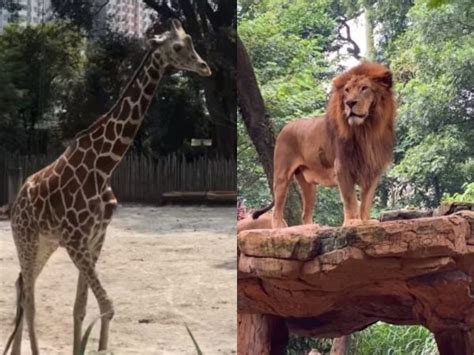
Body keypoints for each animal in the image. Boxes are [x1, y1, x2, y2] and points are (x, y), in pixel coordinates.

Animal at [3, 18, 211, 355]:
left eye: (191, 41)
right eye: (178, 47)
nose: (205, 67)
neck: (104, 166)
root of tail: (17, 200)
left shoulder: (96, 237)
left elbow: (82, 308)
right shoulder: (75, 240)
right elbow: (107, 306)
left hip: (44, 243)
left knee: (22, 284)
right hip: (26, 237)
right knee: (30, 299)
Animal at [262, 63, 396, 228]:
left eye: (364, 88)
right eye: (347, 90)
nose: (349, 103)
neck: (366, 130)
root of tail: (285, 127)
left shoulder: (373, 170)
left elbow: (366, 200)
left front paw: (366, 221)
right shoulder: (342, 167)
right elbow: (350, 199)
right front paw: (352, 221)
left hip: (309, 185)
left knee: (305, 213)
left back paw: (311, 227)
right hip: (281, 176)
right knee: (276, 211)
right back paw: (279, 230)